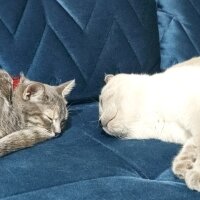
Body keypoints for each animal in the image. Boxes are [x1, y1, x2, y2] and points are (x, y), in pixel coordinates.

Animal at [99, 56, 200, 192]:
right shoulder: (187, 133)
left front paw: (195, 175)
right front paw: (184, 168)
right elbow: (190, 147)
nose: (100, 122)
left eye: (101, 102)